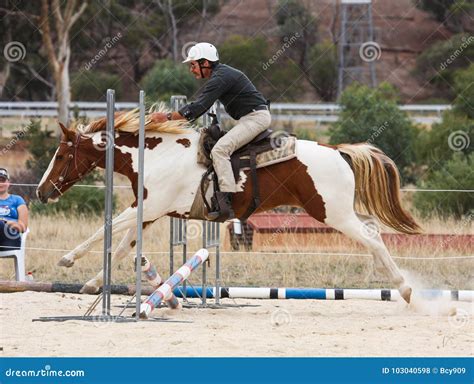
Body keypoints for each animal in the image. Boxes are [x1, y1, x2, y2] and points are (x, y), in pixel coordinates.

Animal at [38, 107, 422, 304]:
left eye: (61, 155)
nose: (42, 193)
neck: (156, 153)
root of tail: (338, 150)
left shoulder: (146, 207)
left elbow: (105, 229)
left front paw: (67, 259)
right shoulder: (148, 212)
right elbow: (120, 247)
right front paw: (92, 284)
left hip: (331, 212)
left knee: (371, 237)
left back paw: (404, 288)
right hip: (341, 211)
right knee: (373, 230)